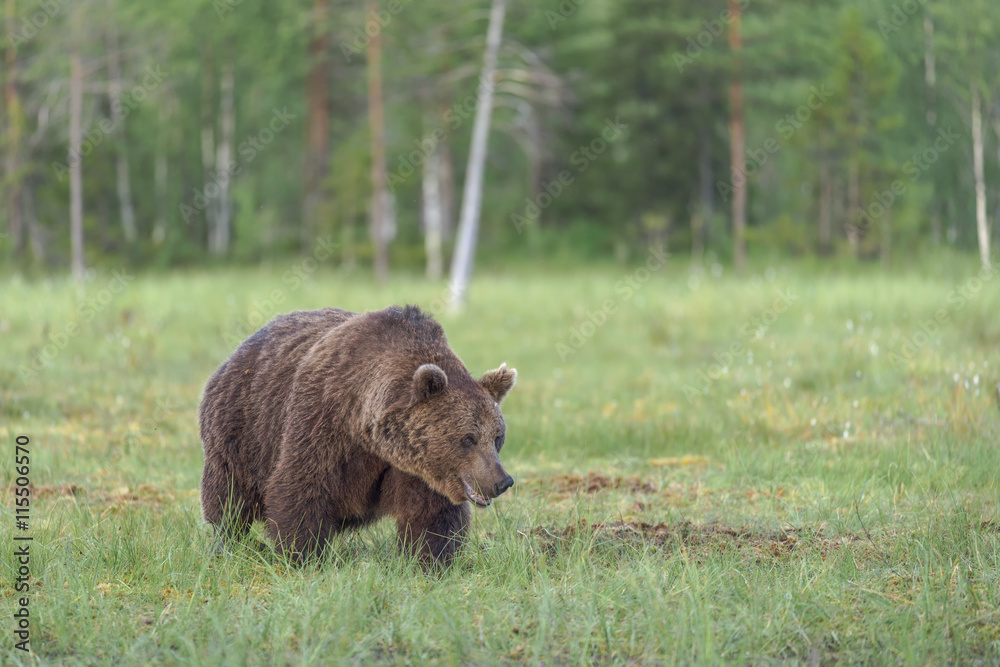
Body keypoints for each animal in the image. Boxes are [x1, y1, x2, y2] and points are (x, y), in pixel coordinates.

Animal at [198, 305, 517, 564]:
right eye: (468, 438)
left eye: (497, 437)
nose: (502, 481)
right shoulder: (323, 419)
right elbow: (302, 486)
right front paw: (302, 555)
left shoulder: (413, 464)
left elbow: (430, 512)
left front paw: (431, 559)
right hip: (244, 428)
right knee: (229, 498)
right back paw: (228, 544)